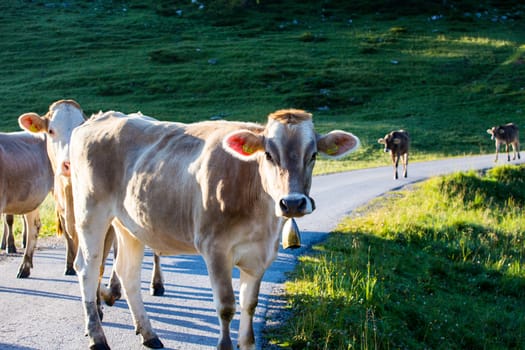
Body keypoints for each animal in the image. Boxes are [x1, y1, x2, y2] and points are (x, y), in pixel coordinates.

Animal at [67, 108, 358, 348]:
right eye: (268, 154)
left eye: (313, 155)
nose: (293, 202)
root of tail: (99, 118)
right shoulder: (214, 248)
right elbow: (227, 306)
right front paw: (225, 345)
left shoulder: (261, 254)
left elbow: (250, 304)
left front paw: (247, 343)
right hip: (91, 213)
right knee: (88, 269)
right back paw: (97, 337)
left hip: (130, 225)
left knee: (128, 273)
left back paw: (149, 335)